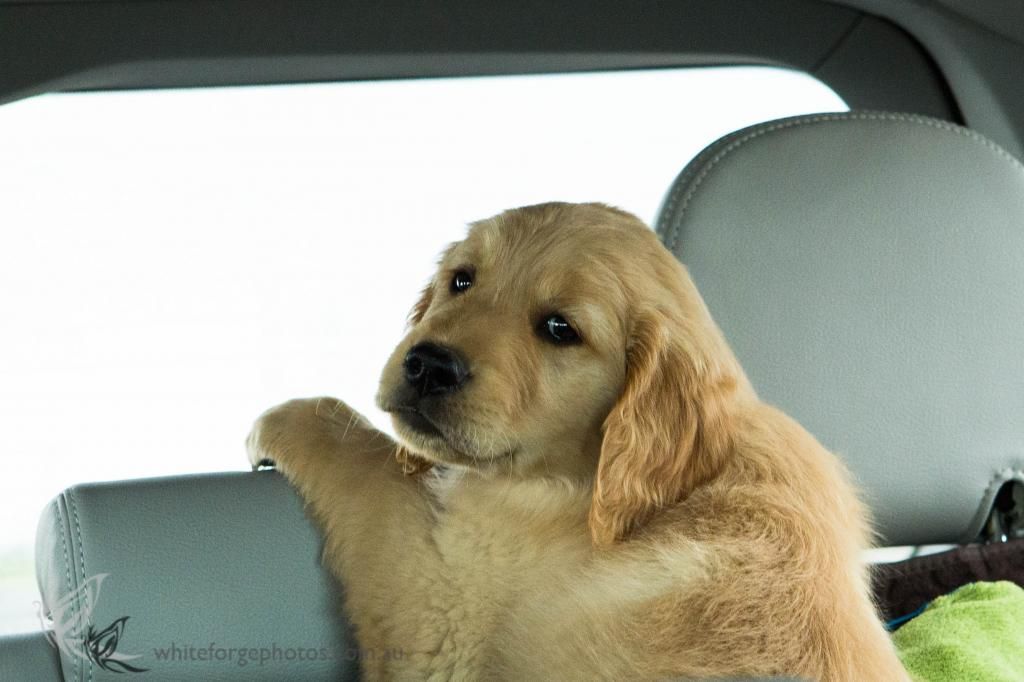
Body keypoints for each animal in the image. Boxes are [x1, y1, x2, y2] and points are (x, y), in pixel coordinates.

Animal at [247, 202, 908, 680]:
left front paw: (291, 417)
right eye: (461, 280)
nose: (429, 365)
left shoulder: (442, 601)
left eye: (559, 328)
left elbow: (367, 466)